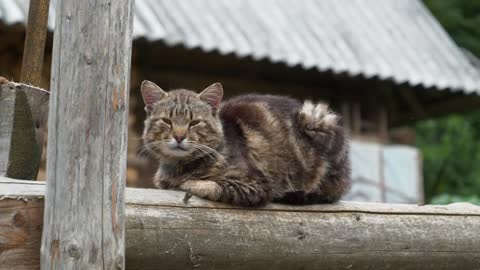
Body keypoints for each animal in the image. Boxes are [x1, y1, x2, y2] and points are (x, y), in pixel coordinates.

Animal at [141, 80, 350, 207]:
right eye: (167, 121)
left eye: (194, 123)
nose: (179, 136)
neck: (180, 166)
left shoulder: (257, 184)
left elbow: (215, 185)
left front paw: (189, 183)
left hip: (315, 117)